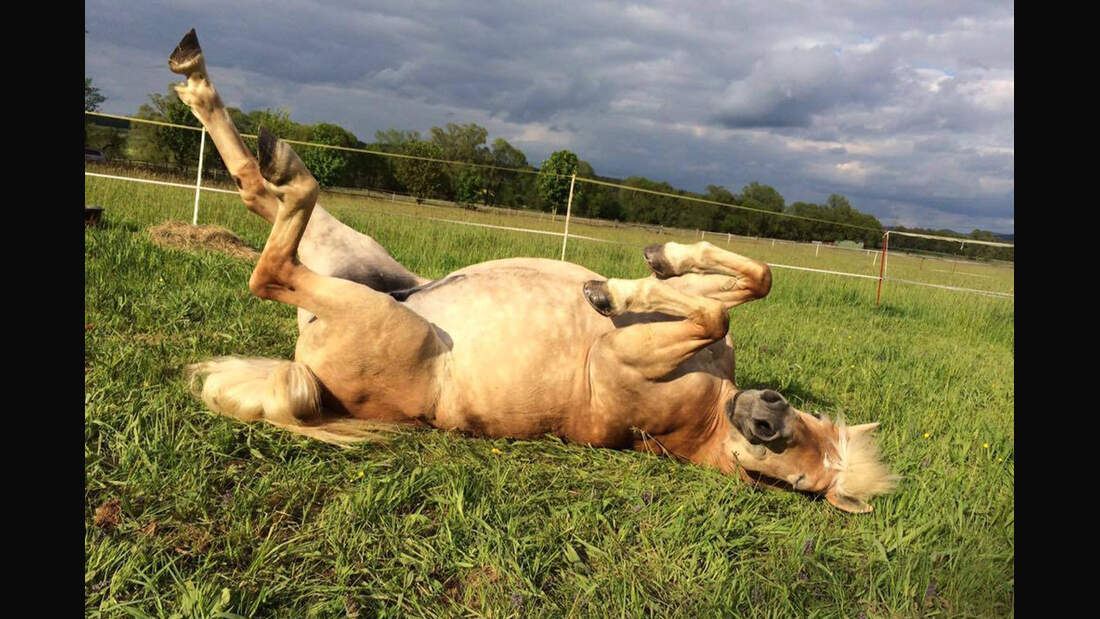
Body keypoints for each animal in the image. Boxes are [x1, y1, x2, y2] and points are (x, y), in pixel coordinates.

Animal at [169, 29, 893, 514]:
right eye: (806, 426)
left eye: (793, 482)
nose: (766, 416)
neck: (709, 410)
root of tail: (310, 376)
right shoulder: (687, 318)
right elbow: (747, 282)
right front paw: (641, 271)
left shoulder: (627, 355)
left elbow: (715, 306)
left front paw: (611, 292)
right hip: (362, 263)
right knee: (257, 194)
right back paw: (204, 85)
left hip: (376, 312)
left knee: (270, 264)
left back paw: (267, 147)